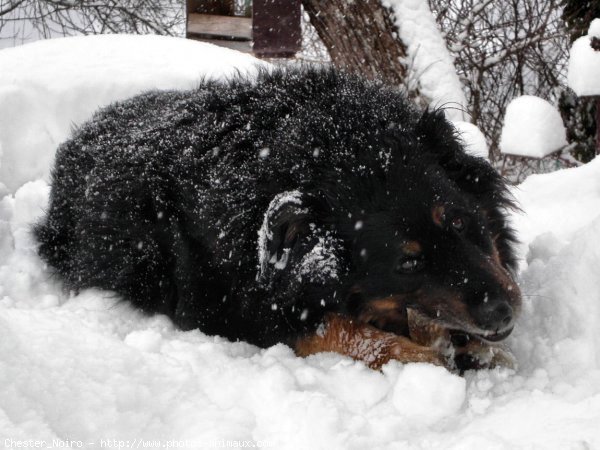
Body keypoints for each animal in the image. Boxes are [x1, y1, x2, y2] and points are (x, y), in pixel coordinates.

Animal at [35, 66, 520, 370]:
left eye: (458, 222)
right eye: (407, 263)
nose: (504, 310)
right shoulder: (231, 310)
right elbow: (336, 328)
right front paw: (424, 357)